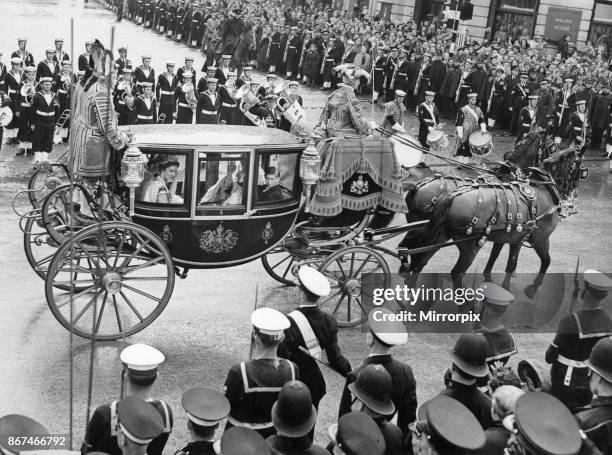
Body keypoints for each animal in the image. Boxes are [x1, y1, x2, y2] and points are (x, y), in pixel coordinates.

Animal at [404, 168, 560, 300]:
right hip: (470, 246)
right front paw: (531, 288)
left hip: (438, 235)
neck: (542, 192)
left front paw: (491, 278)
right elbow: (544, 261)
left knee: (420, 258)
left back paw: (411, 287)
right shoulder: (540, 239)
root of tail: (450, 197)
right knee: (456, 272)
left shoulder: (510, 238)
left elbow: (498, 257)